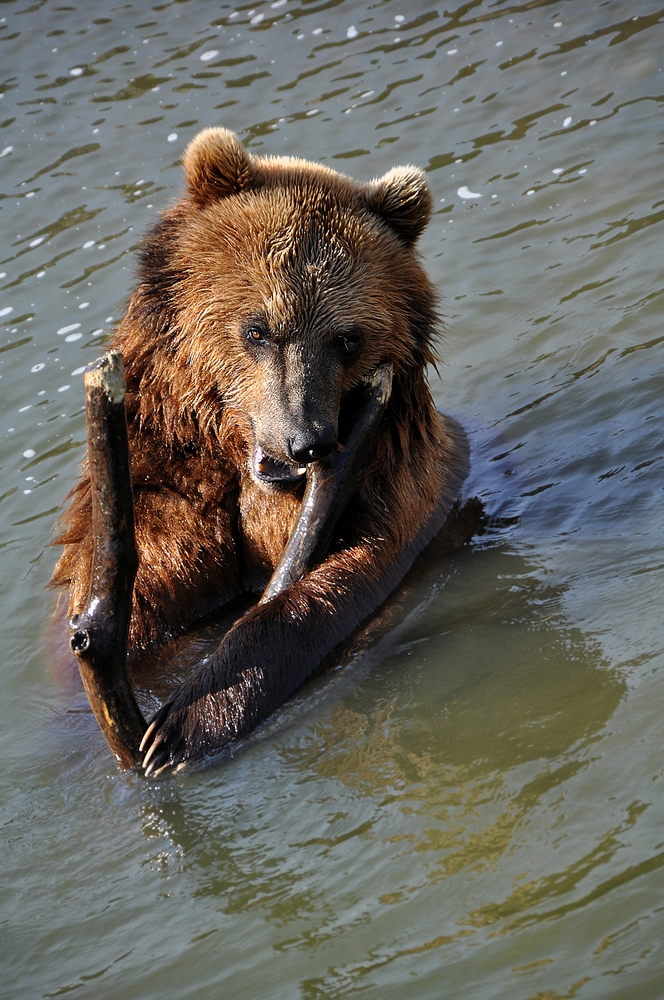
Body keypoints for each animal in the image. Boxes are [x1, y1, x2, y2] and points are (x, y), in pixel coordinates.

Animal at [53, 129, 472, 776]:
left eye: (347, 338)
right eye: (258, 329)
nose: (307, 440)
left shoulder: (401, 485)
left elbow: (347, 577)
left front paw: (185, 725)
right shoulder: (169, 491)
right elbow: (147, 590)